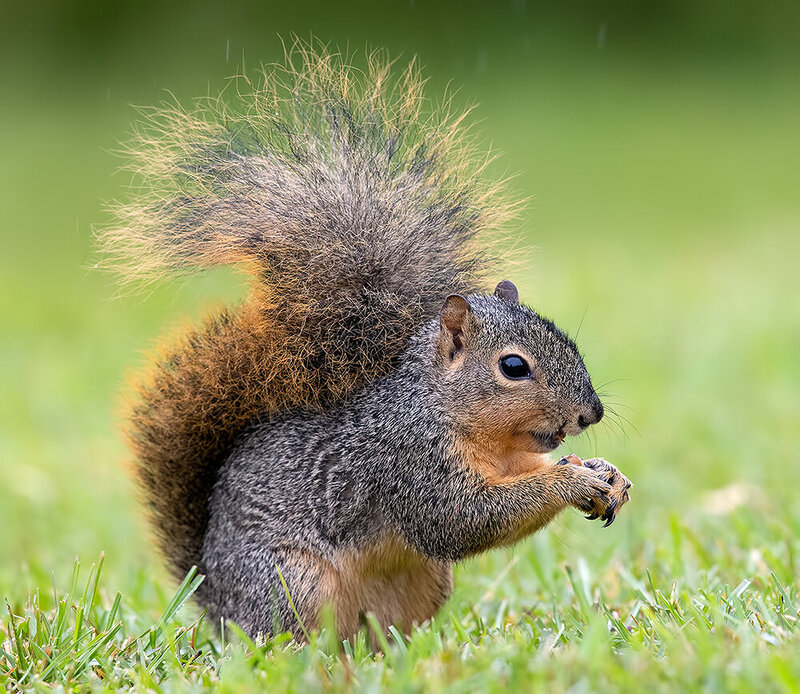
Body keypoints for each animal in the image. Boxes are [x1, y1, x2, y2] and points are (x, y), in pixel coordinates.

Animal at [100, 44, 632, 641]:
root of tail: (213, 597)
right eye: (514, 367)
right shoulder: (409, 462)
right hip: (290, 584)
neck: (446, 410)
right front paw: (570, 482)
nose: (591, 414)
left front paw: (605, 473)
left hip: (421, 585)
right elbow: (460, 520)